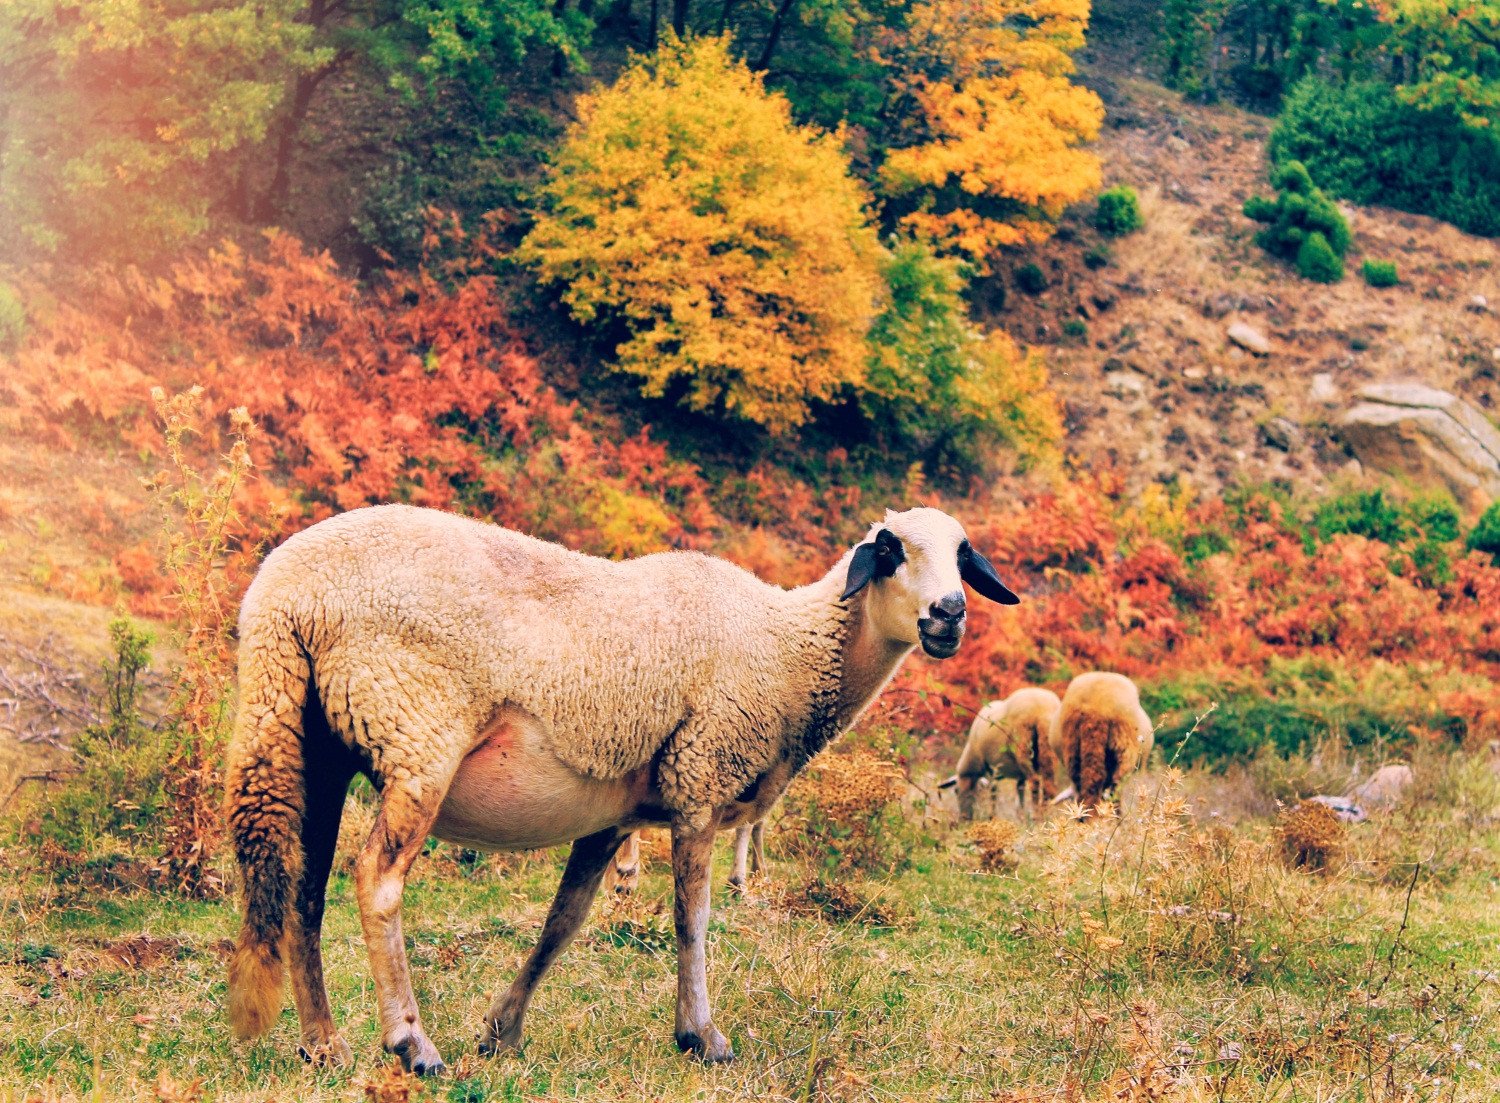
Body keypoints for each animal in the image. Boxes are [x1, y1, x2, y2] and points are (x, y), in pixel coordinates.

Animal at [224, 503, 1019, 1074]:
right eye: (891, 552)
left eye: (962, 554)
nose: (949, 613)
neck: (788, 647)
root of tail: (285, 594)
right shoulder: (701, 779)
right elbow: (692, 920)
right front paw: (702, 1035)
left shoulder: (612, 814)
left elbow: (563, 923)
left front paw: (503, 1029)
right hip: (418, 733)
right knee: (375, 879)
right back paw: (411, 1043)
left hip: (313, 738)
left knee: (303, 892)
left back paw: (323, 1043)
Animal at [941, 688, 1062, 820]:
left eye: (956, 791)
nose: (963, 818)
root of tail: (1041, 707)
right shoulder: (1019, 776)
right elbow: (1020, 792)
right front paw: (1021, 817)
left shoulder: (991, 767)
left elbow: (993, 792)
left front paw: (992, 817)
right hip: (1048, 748)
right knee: (1049, 786)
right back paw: (1046, 816)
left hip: (1022, 746)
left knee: (1035, 782)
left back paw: (1036, 817)